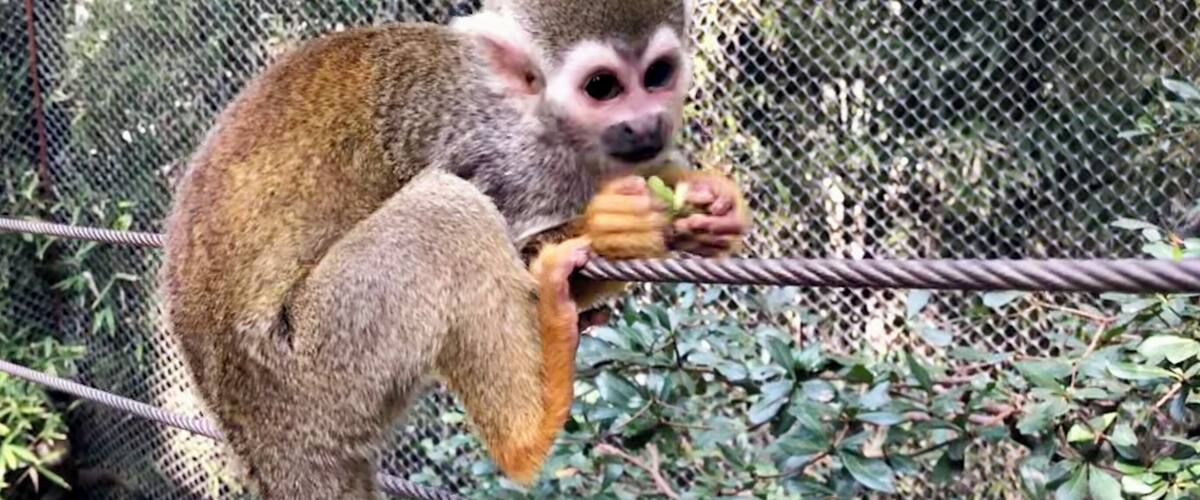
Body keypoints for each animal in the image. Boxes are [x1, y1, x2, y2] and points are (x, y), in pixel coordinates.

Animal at [159, 1, 749, 498]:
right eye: (602, 86)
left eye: (658, 74)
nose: (647, 125)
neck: (540, 118)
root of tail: (260, 439)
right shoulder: (501, 154)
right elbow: (517, 248)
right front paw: (616, 228)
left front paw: (707, 203)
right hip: (307, 365)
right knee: (446, 211)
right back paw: (527, 432)